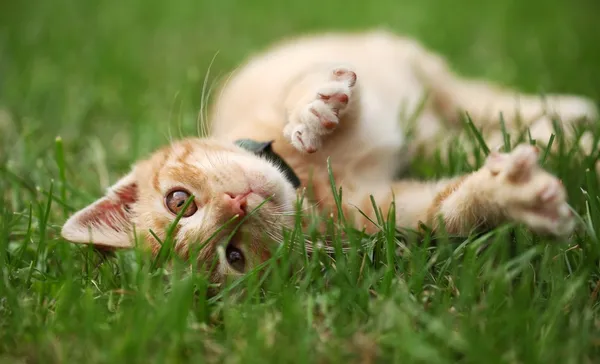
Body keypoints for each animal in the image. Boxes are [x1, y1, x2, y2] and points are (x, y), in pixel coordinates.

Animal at [62, 29, 600, 282]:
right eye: (234, 257)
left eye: (180, 201)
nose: (237, 204)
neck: (307, 181)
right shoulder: (377, 208)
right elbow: (445, 208)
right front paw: (511, 196)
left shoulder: (297, 90)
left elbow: (315, 95)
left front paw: (312, 111)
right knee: (459, 136)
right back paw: (564, 138)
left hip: (418, 67)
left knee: (479, 99)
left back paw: (569, 112)